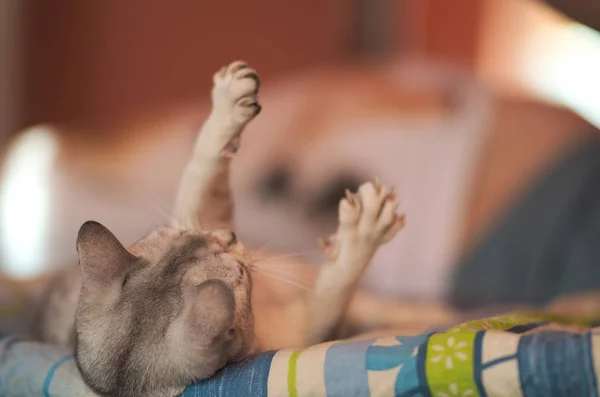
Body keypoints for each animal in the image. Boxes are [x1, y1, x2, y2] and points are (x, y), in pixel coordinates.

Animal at [32, 61, 408, 396]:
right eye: (239, 274)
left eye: (175, 235)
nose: (228, 237)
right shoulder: (310, 328)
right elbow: (335, 287)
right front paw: (365, 229)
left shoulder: (192, 214)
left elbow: (201, 171)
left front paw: (228, 103)